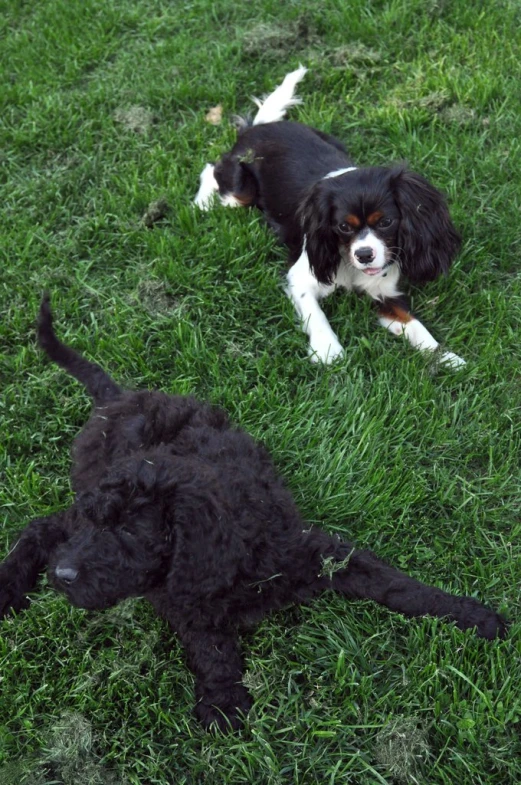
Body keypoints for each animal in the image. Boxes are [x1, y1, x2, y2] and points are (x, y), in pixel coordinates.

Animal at [0, 298, 504, 728]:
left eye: (127, 531)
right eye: (103, 526)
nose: (62, 577)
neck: (238, 549)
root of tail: (114, 399)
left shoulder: (315, 550)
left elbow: (393, 583)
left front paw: (470, 615)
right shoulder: (184, 595)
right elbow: (211, 644)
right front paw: (224, 701)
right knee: (42, 526)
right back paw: (10, 587)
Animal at [194, 66, 464, 366]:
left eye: (386, 222)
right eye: (343, 227)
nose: (364, 255)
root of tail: (258, 127)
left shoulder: (384, 293)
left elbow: (415, 325)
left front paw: (446, 358)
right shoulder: (302, 275)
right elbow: (315, 312)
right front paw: (328, 349)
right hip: (241, 190)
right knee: (211, 170)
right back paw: (201, 204)